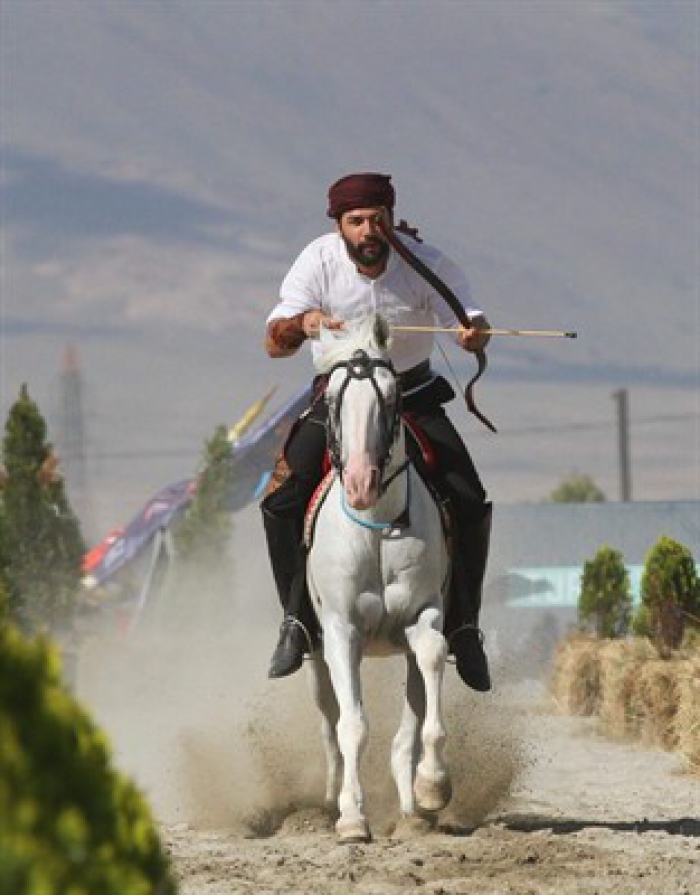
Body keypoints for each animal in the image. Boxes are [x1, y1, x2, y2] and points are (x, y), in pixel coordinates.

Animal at [304, 314, 448, 840]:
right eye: (330, 400)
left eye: (393, 395)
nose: (362, 484)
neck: (378, 526)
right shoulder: (341, 630)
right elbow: (353, 725)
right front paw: (352, 817)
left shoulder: (424, 613)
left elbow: (432, 659)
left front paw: (433, 786)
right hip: (315, 649)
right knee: (329, 719)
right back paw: (329, 799)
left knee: (407, 726)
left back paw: (411, 812)